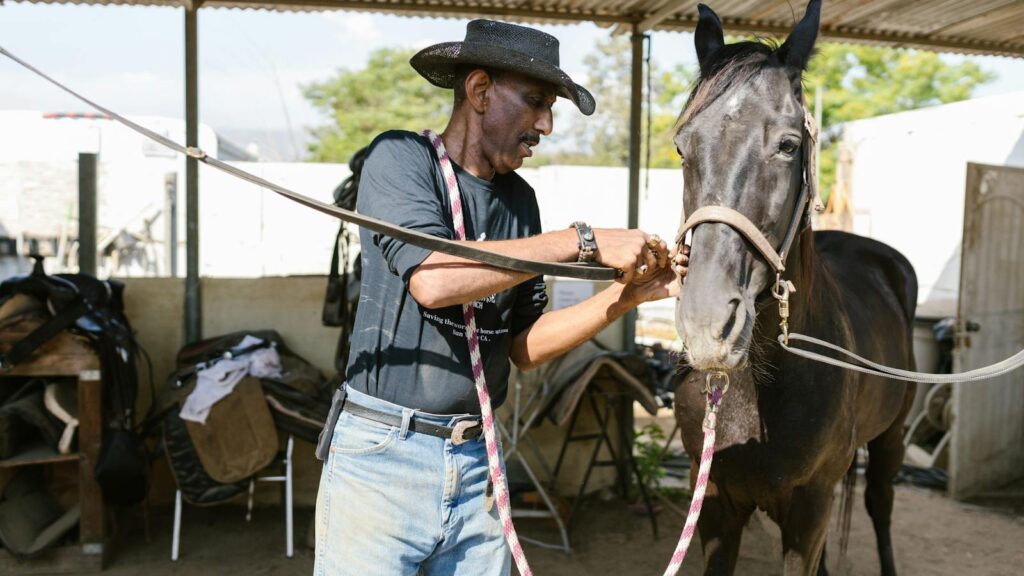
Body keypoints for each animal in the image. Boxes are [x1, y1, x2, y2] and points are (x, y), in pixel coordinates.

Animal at [671, 2, 917, 575]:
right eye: (682, 147)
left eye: (788, 144)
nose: (707, 324)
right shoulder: (715, 504)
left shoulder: (811, 506)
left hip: (891, 438)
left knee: (881, 504)